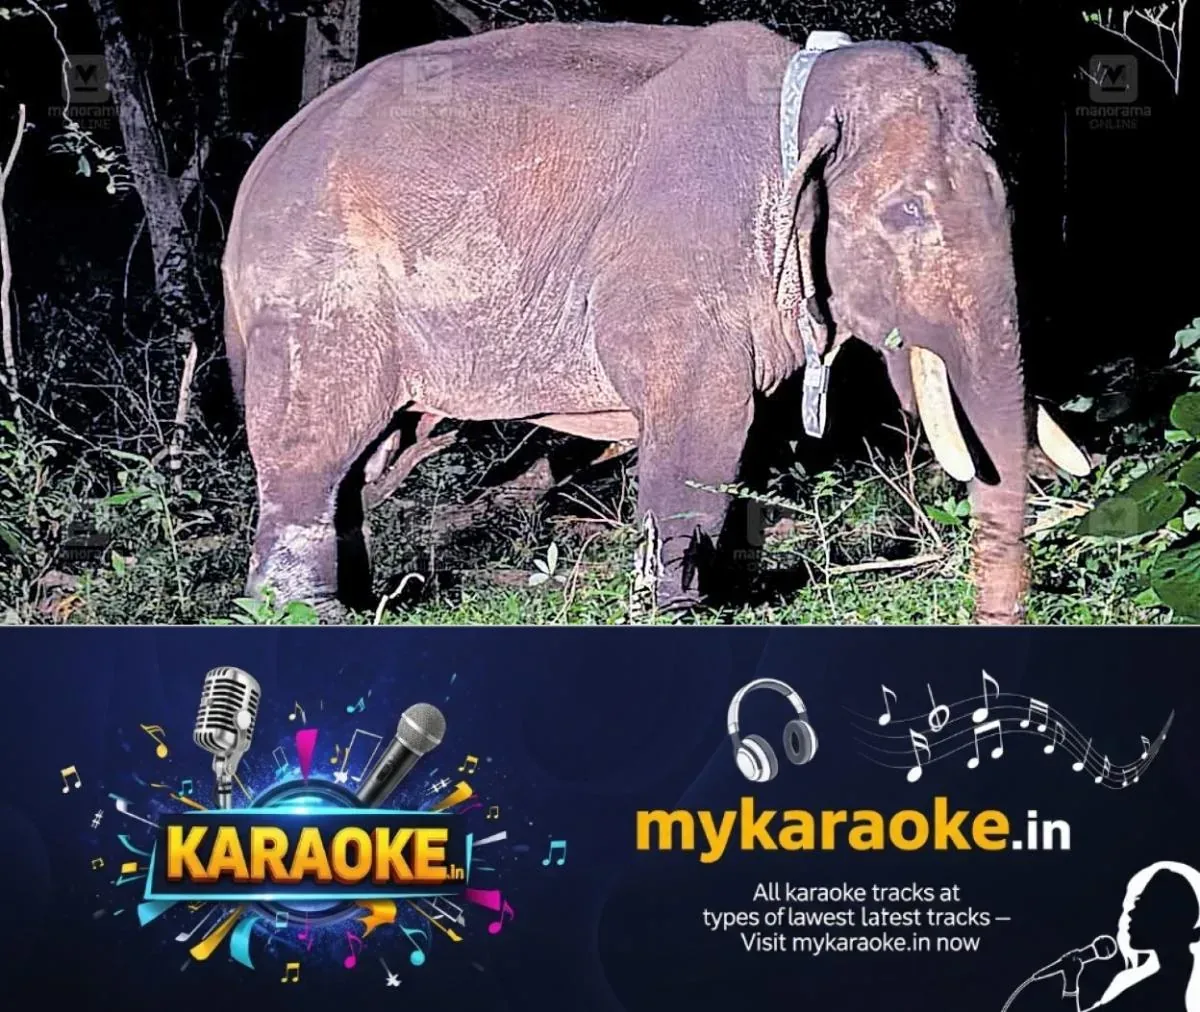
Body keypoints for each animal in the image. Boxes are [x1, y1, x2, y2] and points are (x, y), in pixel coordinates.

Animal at [222, 19, 1090, 623]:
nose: (999, 618)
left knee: (370, 463)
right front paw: (680, 608)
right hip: (318, 298)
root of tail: (259, 171)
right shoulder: (676, 272)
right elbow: (706, 426)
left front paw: (739, 591)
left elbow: (754, 435)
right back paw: (307, 614)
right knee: (317, 448)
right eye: (906, 213)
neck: (805, 92)